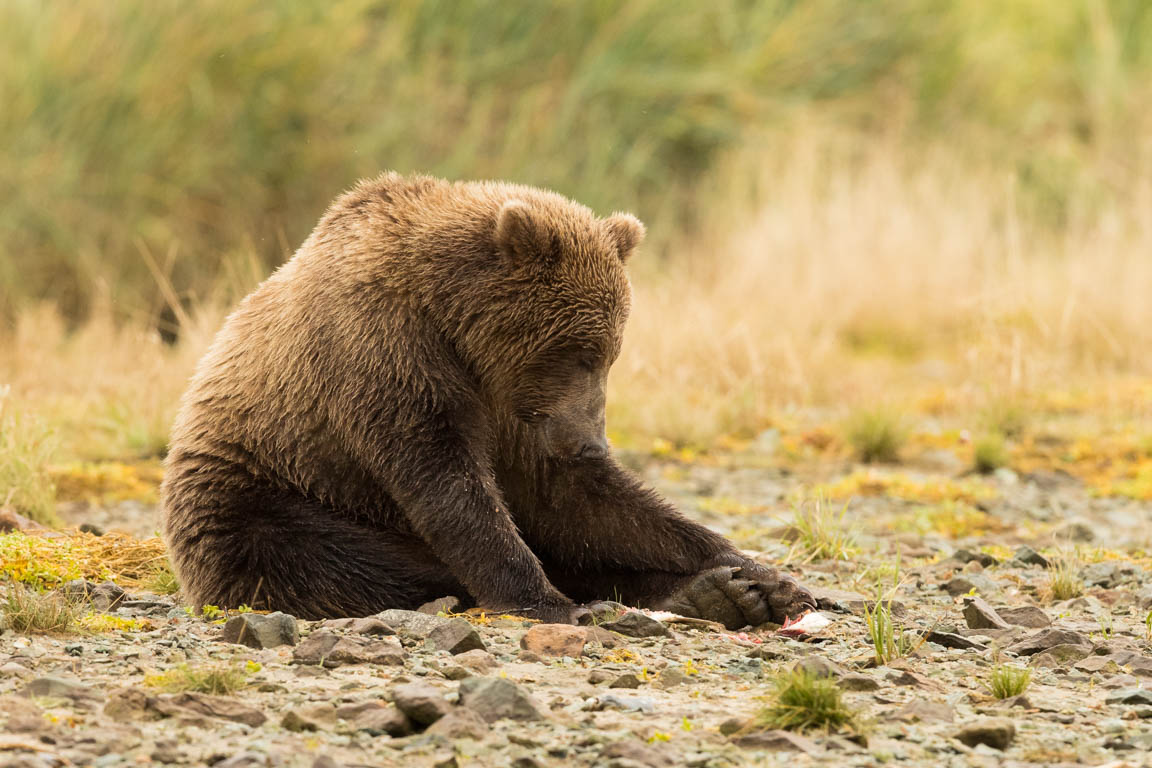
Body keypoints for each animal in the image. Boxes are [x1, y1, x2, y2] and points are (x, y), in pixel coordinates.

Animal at [160, 173, 820, 630]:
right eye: (578, 351)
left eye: (611, 352)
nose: (591, 440)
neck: (452, 323)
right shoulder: (385, 355)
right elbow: (447, 482)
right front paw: (551, 603)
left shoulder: (520, 410)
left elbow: (579, 498)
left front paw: (767, 576)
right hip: (263, 497)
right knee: (335, 560)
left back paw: (719, 593)